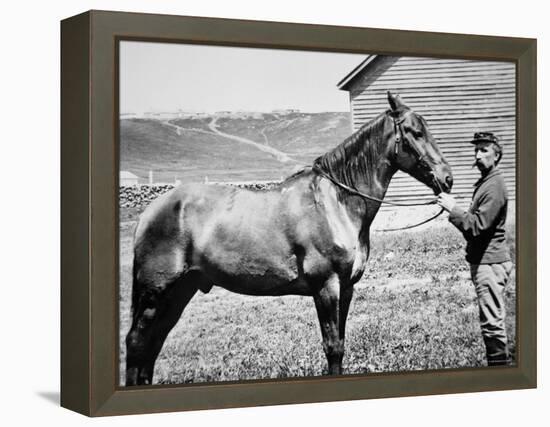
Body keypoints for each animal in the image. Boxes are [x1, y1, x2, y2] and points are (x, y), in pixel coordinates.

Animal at [127, 92, 454, 386]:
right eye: (415, 132)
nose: (447, 178)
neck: (335, 203)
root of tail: (150, 211)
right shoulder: (326, 287)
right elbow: (332, 347)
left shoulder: (346, 288)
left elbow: (341, 342)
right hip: (156, 293)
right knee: (136, 343)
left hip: (180, 291)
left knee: (153, 344)